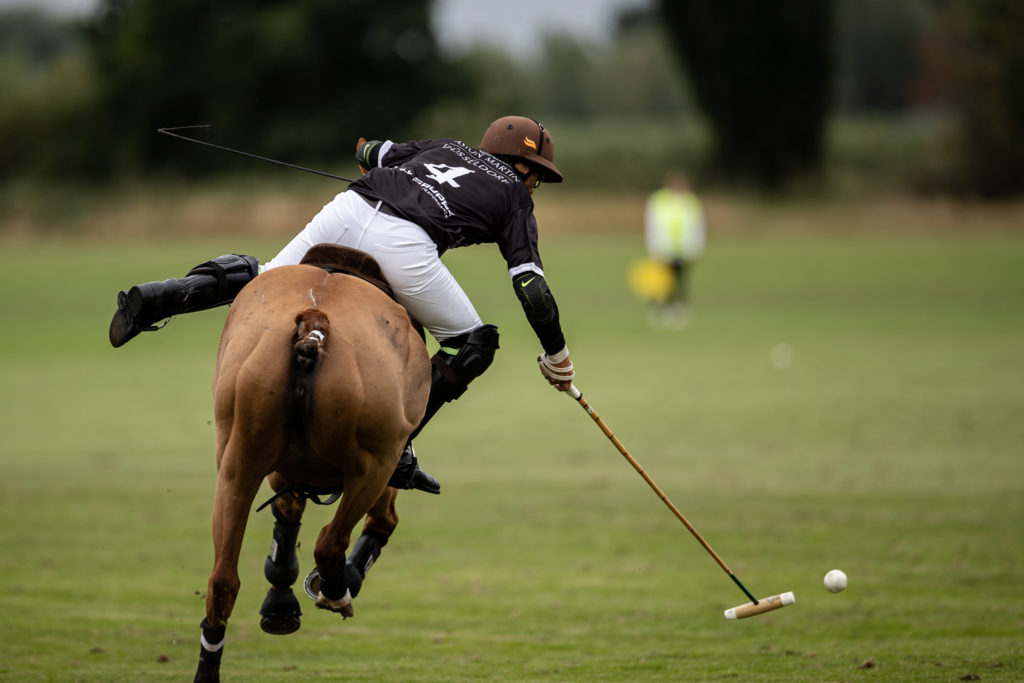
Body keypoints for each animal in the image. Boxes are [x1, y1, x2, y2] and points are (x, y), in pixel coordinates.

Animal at [193, 246, 430, 683]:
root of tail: (316, 321)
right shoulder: (388, 453)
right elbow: (378, 520)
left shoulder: (279, 466)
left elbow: (287, 510)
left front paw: (279, 597)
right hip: (375, 462)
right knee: (330, 541)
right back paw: (338, 589)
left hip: (238, 463)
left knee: (223, 580)